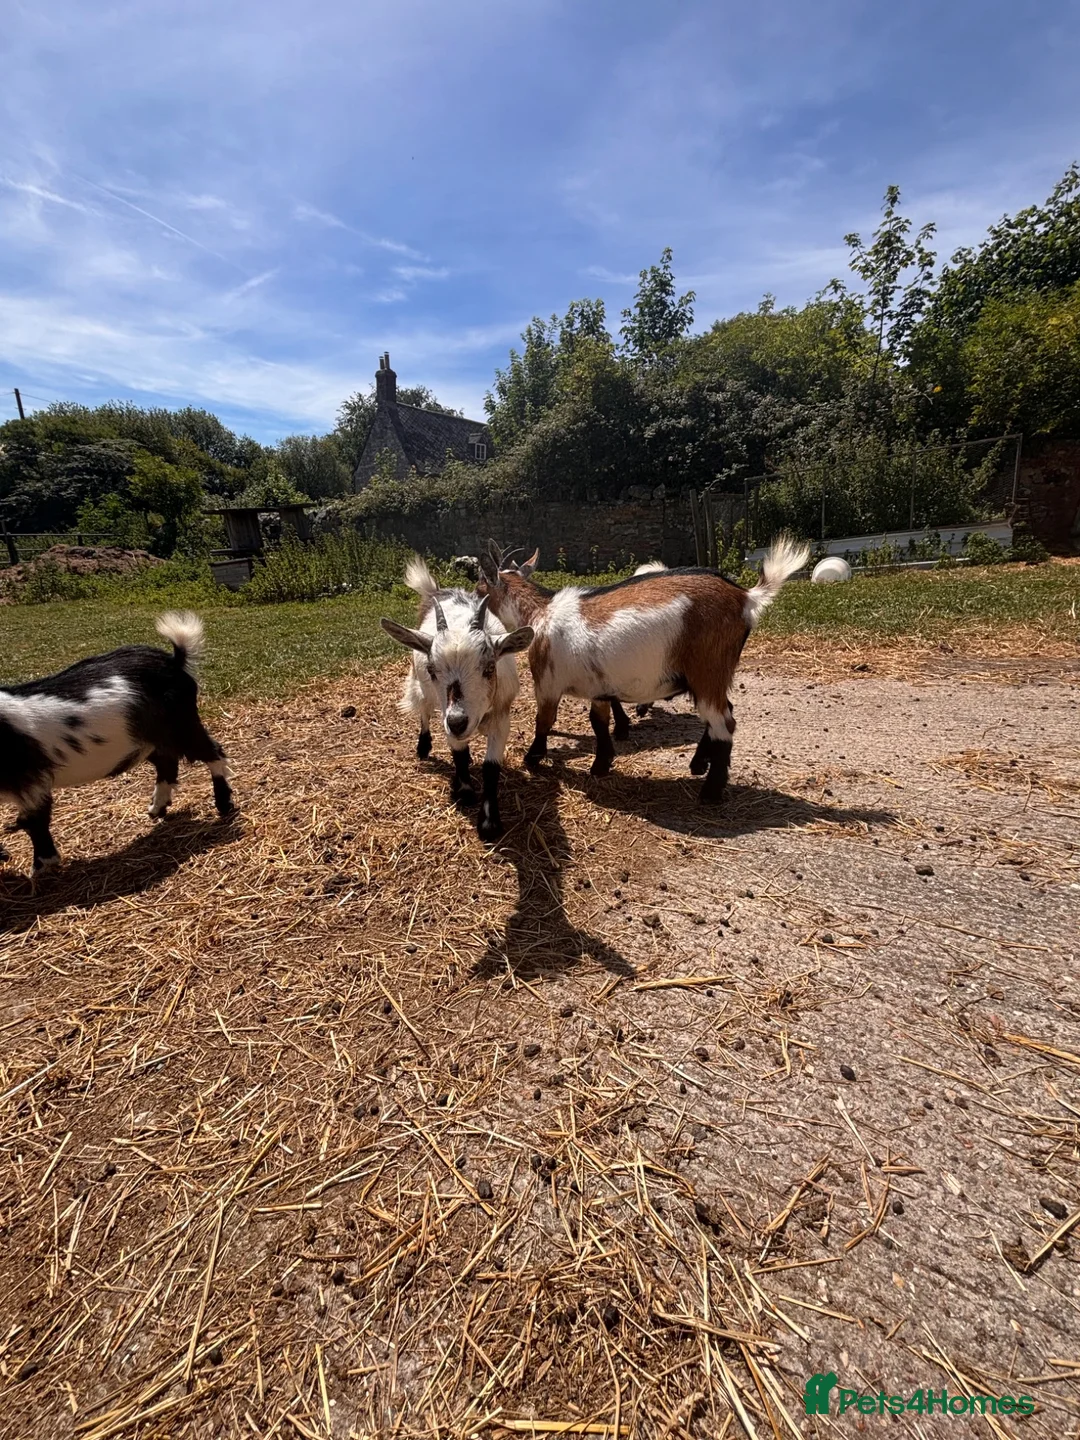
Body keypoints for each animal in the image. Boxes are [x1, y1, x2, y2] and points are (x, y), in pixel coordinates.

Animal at [0, 613, 233, 874]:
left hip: (181, 724)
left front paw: (40, 868)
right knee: (167, 763)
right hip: (151, 739)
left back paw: (224, 805)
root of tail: (174, 661)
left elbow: (34, 820)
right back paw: (156, 810)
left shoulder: (30, 781)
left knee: (212, 752)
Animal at [380, 558, 533, 841]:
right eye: (432, 669)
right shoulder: (447, 714)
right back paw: (423, 746)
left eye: (489, 668)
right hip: (423, 690)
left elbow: (491, 768)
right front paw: (464, 791)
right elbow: (457, 753)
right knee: (424, 710)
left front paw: (489, 823)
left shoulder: (501, 717)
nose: (459, 722)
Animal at [477, 536, 810, 803]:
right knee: (724, 713)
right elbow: (599, 722)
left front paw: (532, 759)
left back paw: (710, 793)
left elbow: (543, 722)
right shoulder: (599, 685)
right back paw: (698, 764)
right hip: (711, 676)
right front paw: (601, 765)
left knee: (724, 724)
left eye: (480, 588)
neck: (539, 611)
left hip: (707, 670)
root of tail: (746, 598)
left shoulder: (546, 682)